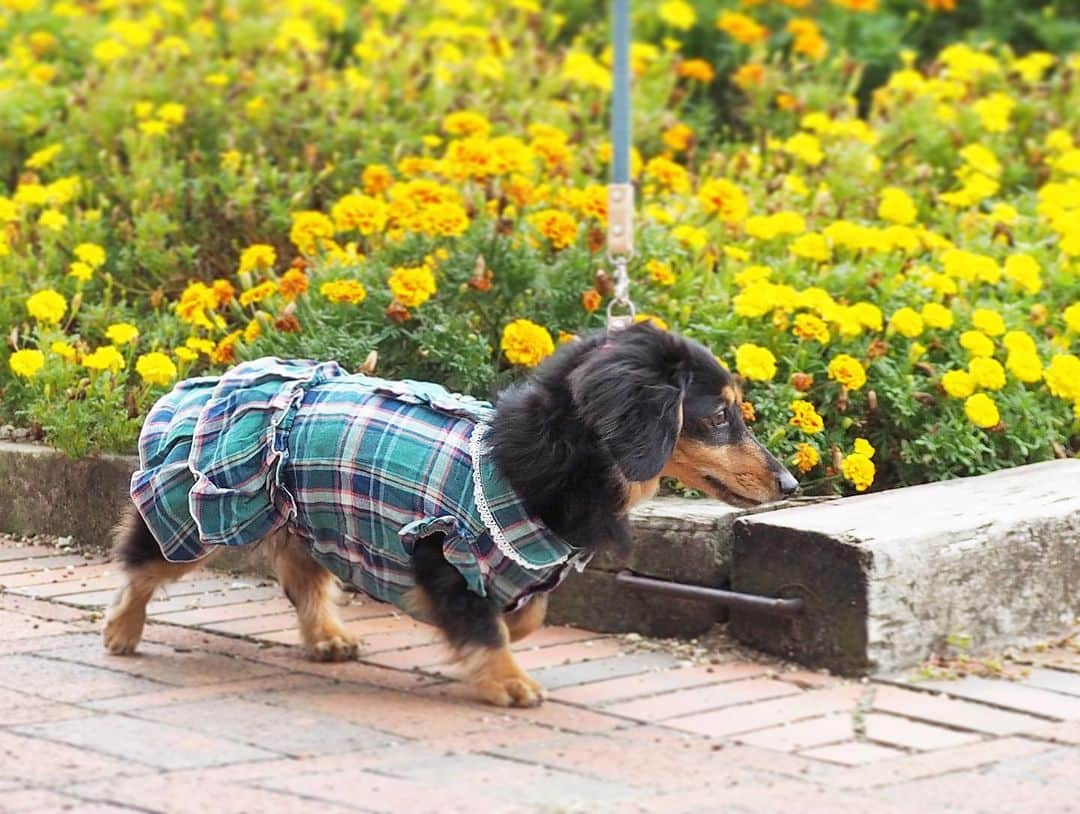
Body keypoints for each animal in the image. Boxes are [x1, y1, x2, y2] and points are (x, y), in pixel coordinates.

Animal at [103, 323, 794, 703]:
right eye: (721, 415)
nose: (790, 481)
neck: (542, 459)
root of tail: (224, 375)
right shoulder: (443, 549)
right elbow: (483, 625)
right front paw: (508, 681)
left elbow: (528, 614)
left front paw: (509, 637)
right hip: (207, 509)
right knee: (142, 562)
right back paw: (121, 631)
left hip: (301, 511)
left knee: (302, 575)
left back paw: (325, 637)